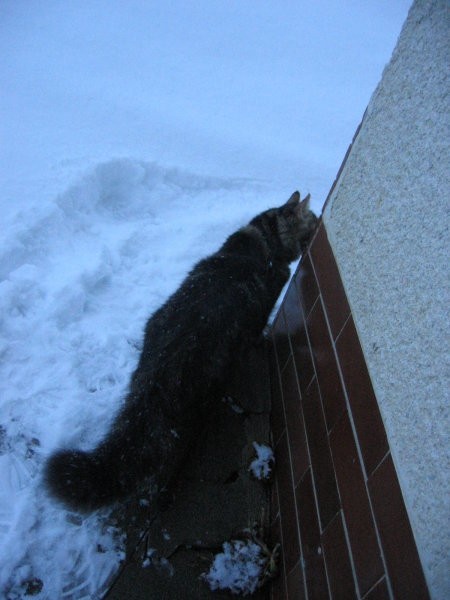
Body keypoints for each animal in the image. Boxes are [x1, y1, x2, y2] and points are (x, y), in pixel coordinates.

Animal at [44, 192, 316, 510]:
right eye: (313, 220)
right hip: (194, 407)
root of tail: (156, 375)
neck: (265, 242)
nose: (320, 221)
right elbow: (257, 332)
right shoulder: (260, 313)